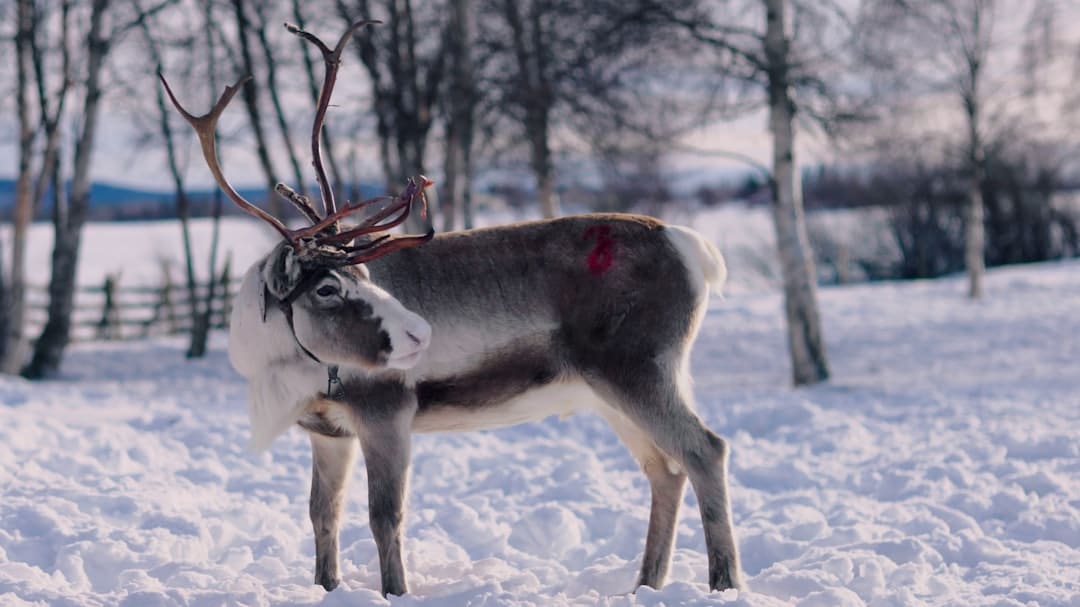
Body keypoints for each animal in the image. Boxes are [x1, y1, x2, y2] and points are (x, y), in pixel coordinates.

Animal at [161, 20, 742, 599]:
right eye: (325, 287)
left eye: (365, 275)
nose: (419, 333)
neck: (277, 368)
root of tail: (693, 247)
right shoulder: (326, 431)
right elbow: (322, 514)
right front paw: (327, 587)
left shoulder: (387, 410)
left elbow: (384, 516)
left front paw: (395, 592)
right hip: (609, 388)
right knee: (665, 469)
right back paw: (646, 585)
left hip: (638, 370)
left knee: (706, 449)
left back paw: (723, 583)